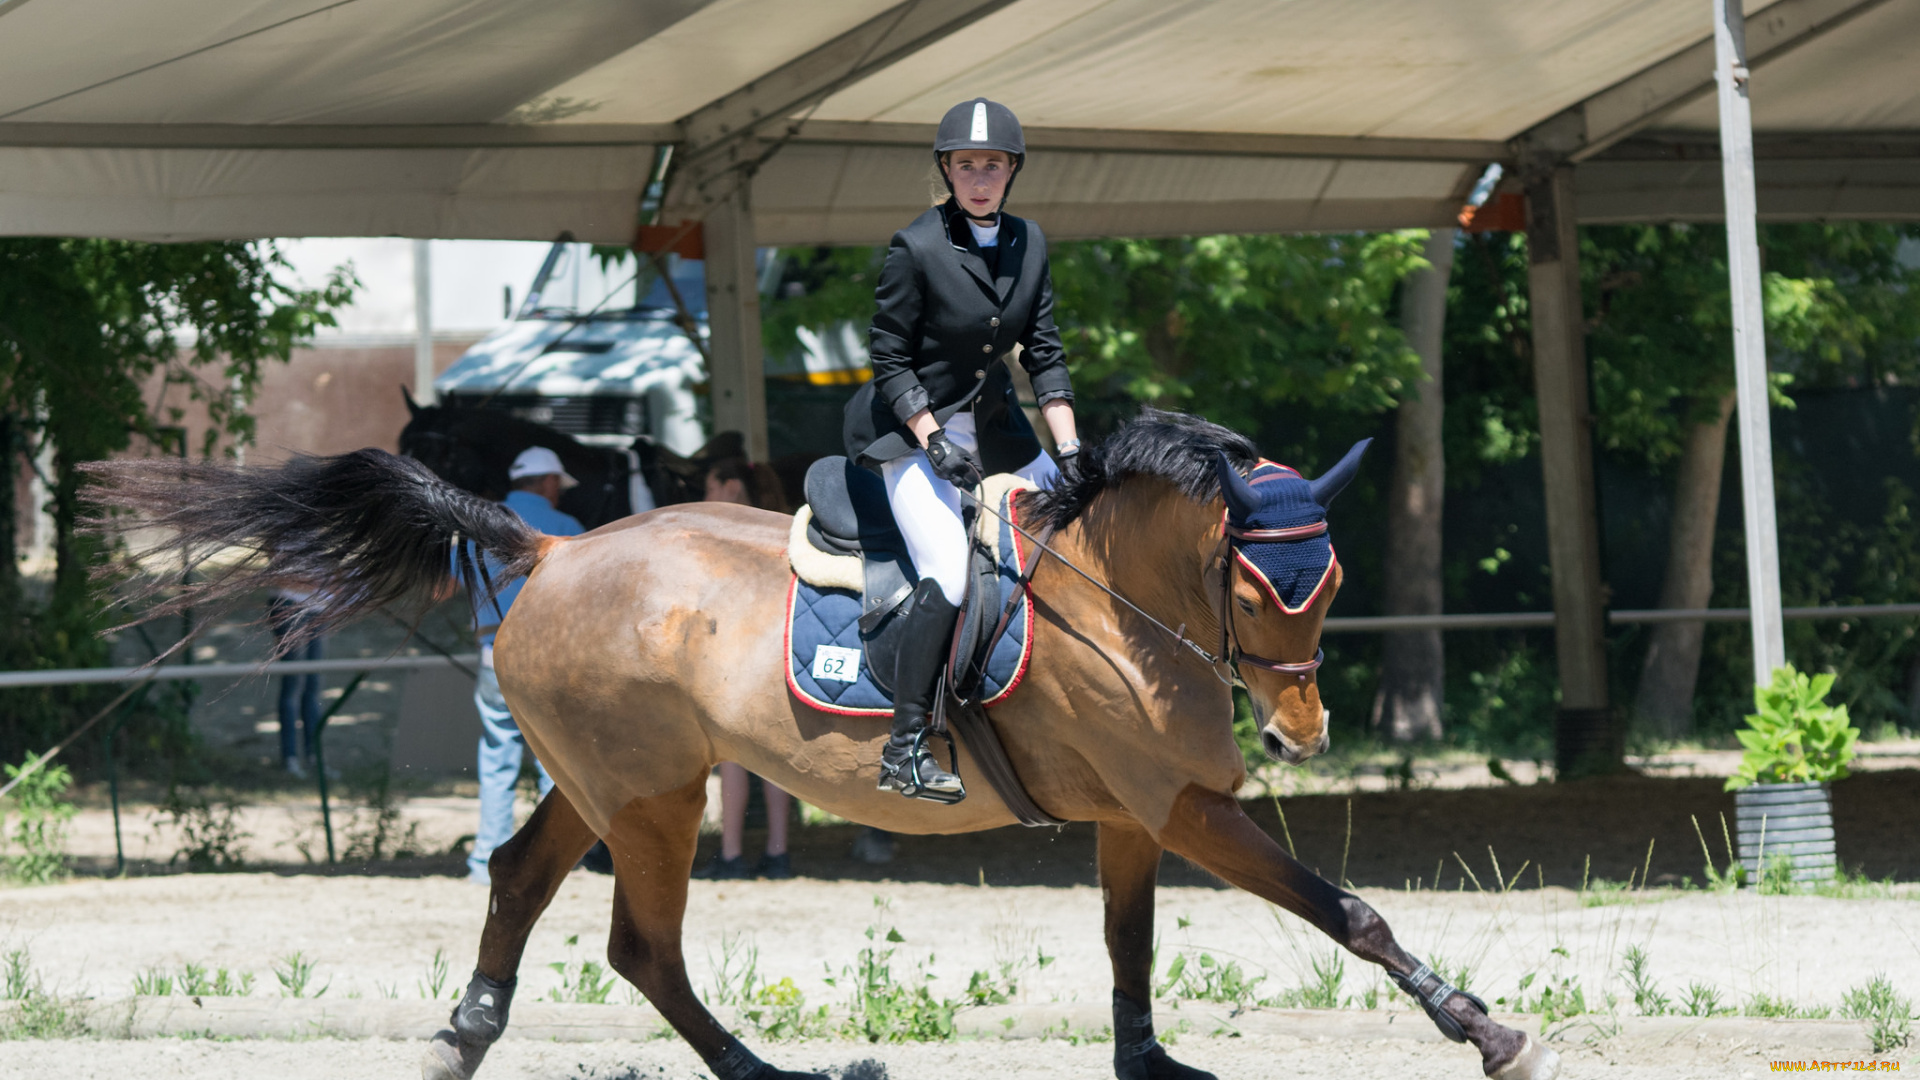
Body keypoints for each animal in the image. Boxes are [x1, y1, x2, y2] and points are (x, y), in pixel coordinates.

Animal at [90, 405, 1559, 1076]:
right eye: (1257, 587)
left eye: (1334, 580)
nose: (1306, 732)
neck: (1118, 602)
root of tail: (548, 547)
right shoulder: (1182, 806)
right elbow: (1349, 910)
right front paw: (1484, 1027)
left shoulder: (1137, 816)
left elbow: (1129, 946)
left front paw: (1149, 1062)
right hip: (655, 800)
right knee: (641, 945)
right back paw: (760, 1071)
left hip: (620, 782)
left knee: (522, 880)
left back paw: (468, 1033)